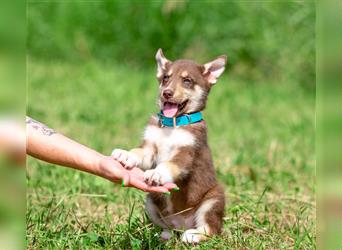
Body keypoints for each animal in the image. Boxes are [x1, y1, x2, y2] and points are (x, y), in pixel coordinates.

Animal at [112, 49, 227, 244]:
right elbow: (138, 152)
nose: (167, 93)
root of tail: (183, 224)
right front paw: (125, 155)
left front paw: (157, 174)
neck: (171, 125)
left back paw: (193, 235)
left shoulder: (186, 153)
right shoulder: (150, 148)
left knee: (212, 229)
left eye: (187, 81)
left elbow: (169, 164)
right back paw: (164, 234)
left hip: (214, 198)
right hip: (151, 202)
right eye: (166, 78)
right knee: (169, 228)